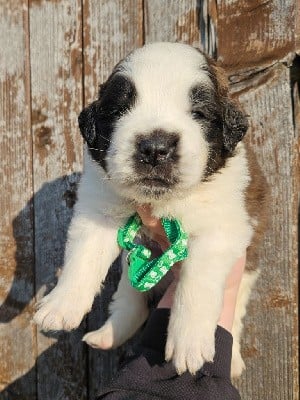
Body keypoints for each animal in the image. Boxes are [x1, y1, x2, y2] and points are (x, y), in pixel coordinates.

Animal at [34, 42, 268, 376]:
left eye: (198, 113)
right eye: (119, 111)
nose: (155, 148)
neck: (162, 201)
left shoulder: (221, 229)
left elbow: (197, 284)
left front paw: (188, 343)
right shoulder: (99, 211)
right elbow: (83, 259)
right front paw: (61, 305)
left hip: (247, 270)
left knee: (235, 312)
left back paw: (232, 359)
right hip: (134, 261)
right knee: (129, 300)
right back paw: (105, 335)